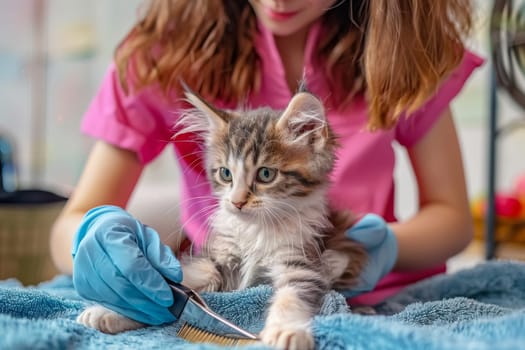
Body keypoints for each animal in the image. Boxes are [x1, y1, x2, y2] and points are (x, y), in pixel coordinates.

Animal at [77, 88, 364, 350]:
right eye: (226, 174)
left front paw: (286, 330)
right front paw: (117, 308)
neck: (256, 229)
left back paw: (333, 261)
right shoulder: (220, 259)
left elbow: (292, 296)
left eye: (266, 174)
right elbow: (187, 279)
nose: (236, 202)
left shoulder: (301, 262)